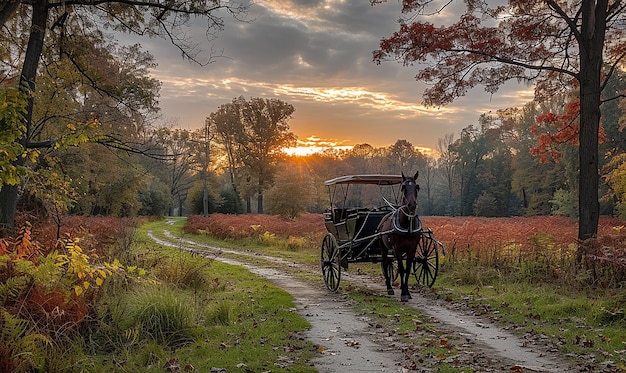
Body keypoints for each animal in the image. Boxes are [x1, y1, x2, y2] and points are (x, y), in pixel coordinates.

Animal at [376, 171, 420, 302]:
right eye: (403, 187)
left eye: (417, 187)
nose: (411, 205)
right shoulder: (397, 249)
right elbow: (401, 268)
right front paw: (403, 293)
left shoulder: (412, 248)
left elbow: (408, 268)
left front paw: (407, 291)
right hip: (384, 247)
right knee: (385, 264)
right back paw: (389, 287)